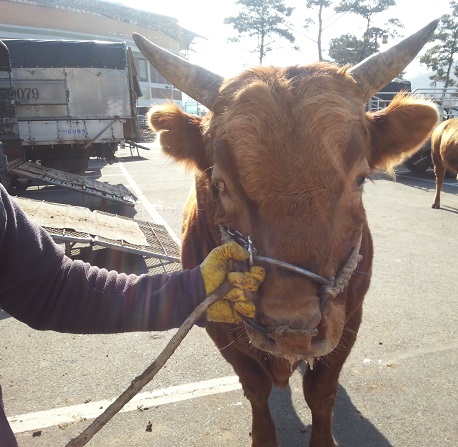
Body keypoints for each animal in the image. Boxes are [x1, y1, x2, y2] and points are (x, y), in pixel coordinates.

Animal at [133, 21, 440, 447]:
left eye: (360, 179)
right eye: (221, 184)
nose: (293, 327)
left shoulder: (351, 316)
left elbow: (321, 391)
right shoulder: (219, 325)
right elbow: (255, 387)